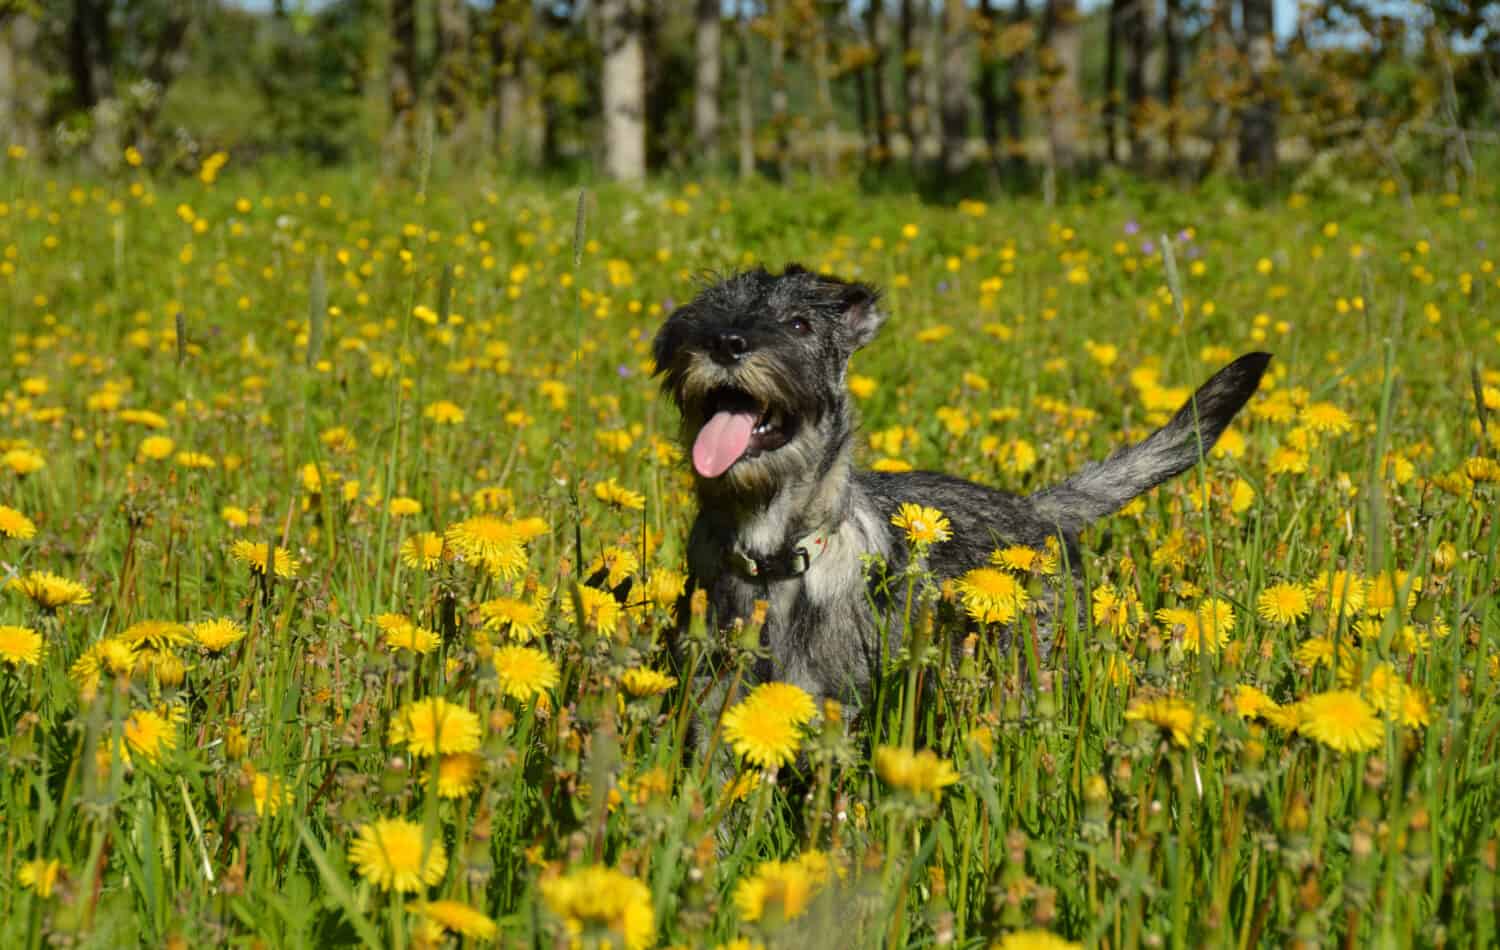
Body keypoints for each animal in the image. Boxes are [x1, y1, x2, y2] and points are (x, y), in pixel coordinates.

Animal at [654, 262, 1266, 708]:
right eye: (706, 310)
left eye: (799, 324)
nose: (726, 342)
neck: (770, 554)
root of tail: (1036, 510)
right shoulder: (709, 704)